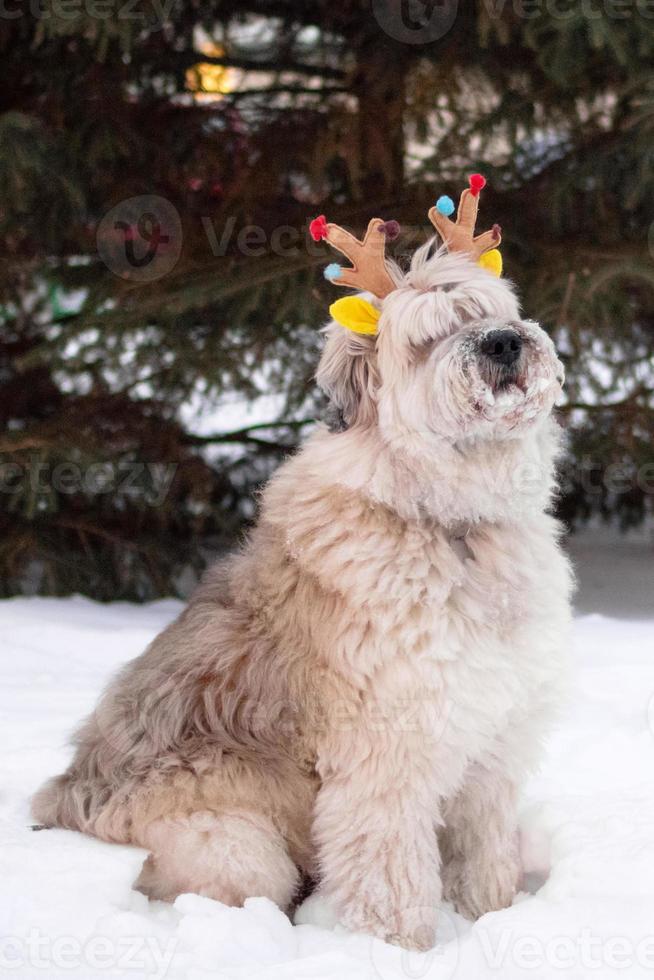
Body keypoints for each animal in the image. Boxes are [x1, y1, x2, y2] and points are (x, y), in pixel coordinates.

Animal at [32, 201, 576, 948]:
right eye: (427, 338)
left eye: (488, 311)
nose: (502, 345)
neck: (451, 522)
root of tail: (60, 803)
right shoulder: (387, 758)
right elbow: (392, 882)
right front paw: (399, 952)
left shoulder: (492, 744)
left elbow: (484, 862)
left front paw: (491, 923)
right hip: (239, 849)